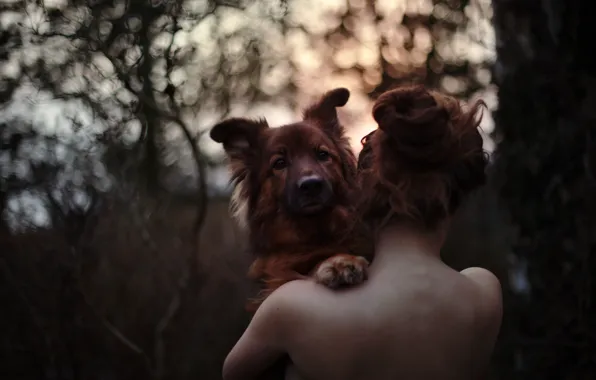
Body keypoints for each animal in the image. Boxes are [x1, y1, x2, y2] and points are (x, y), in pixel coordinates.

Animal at [207, 89, 370, 312]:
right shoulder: (277, 275)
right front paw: (338, 262)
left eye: (322, 154)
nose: (311, 185)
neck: (315, 232)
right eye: (280, 163)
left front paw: (342, 260)